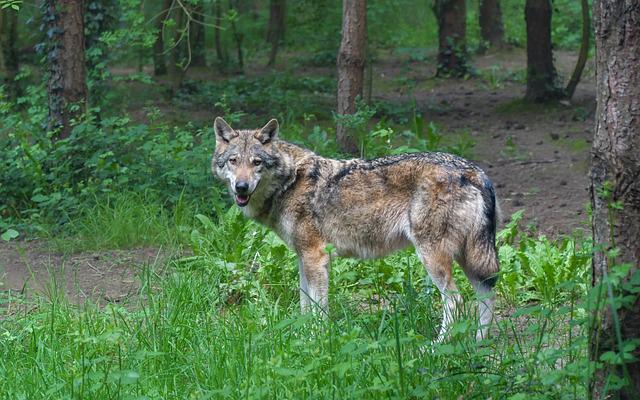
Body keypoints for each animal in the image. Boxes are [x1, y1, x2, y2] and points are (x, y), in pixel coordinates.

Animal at [211, 117, 500, 340]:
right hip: (469, 258)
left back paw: (436, 347)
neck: (290, 181)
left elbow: (318, 308)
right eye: (233, 161)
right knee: (486, 295)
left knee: (456, 301)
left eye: (256, 162)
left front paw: (317, 340)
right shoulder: (303, 258)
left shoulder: (316, 257)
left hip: (434, 257)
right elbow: (305, 305)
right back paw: (478, 343)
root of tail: (474, 171)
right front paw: (301, 337)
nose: (241, 187)